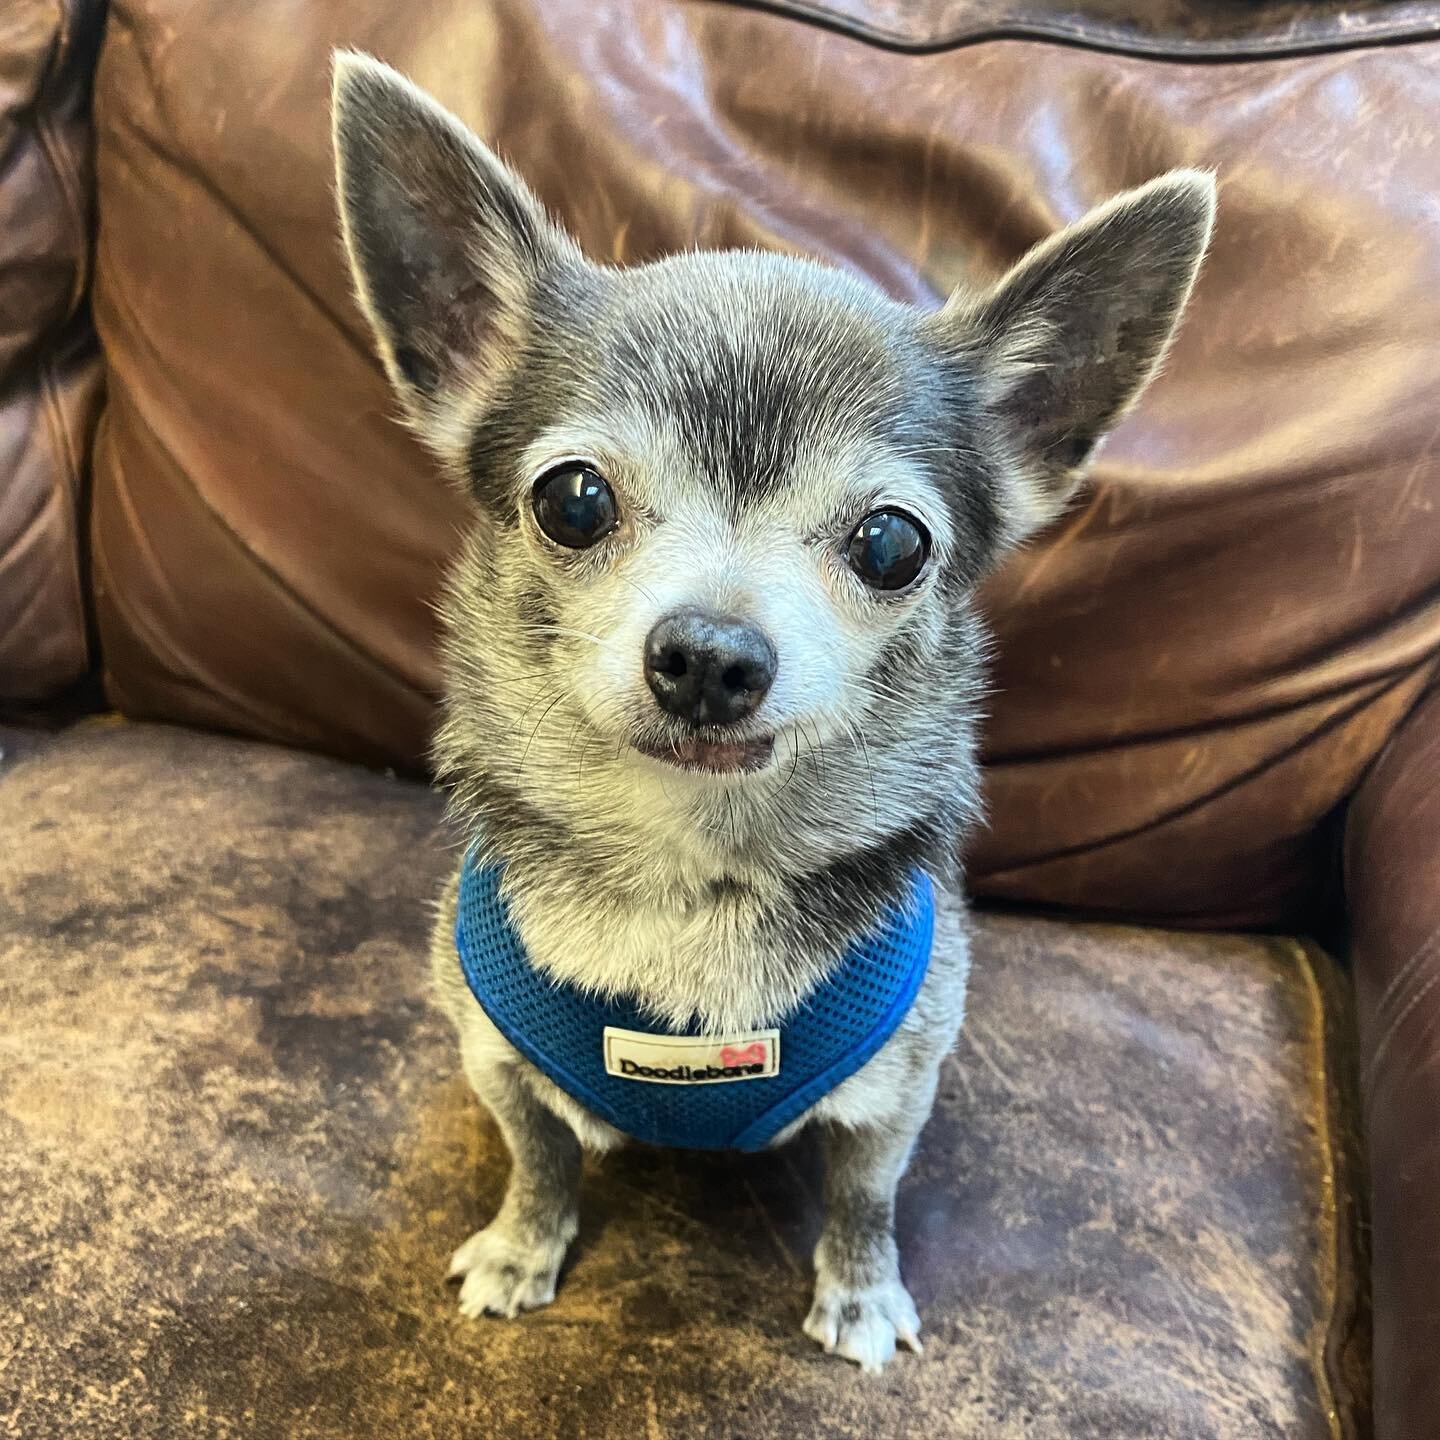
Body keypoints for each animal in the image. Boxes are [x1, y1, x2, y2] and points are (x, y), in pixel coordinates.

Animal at [329, 53, 1215, 1370]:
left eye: (893, 544)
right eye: (574, 500)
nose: (708, 655)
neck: (693, 872)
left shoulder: (902, 1080)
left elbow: (865, 1191)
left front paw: (859, 1292)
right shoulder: (492, 1054)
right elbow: (539, 1154)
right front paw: (523, 1246)